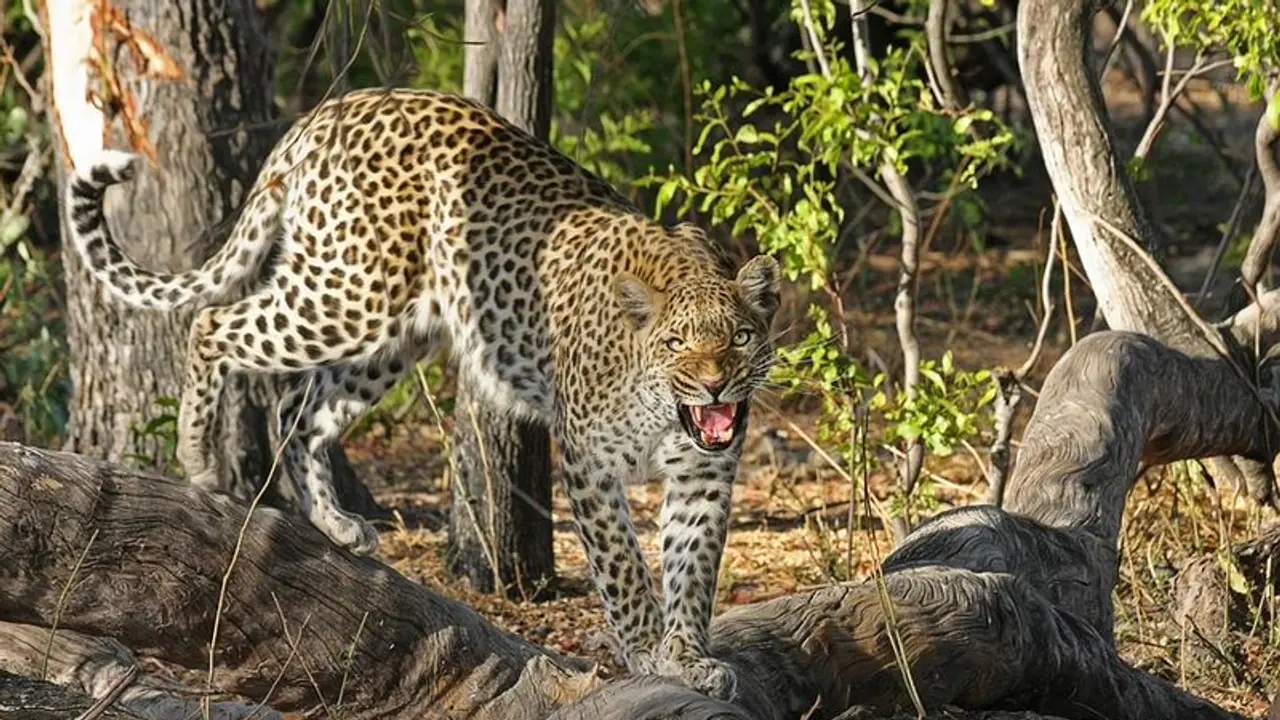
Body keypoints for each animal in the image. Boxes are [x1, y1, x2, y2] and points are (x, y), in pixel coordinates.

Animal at [65, 87, 780, 699]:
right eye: (677, 343)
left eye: (741, 338)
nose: (714, 383)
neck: (667, 411)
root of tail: (328, 110)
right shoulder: (588, 463)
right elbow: (625, 570)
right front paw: (648, 652)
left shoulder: (705, 476)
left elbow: (693, 571)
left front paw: (688, 657)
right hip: (348, 295)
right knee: (213, 324)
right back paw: (199, 458)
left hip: (392, 336)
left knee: (298, 408)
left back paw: (334, 522)